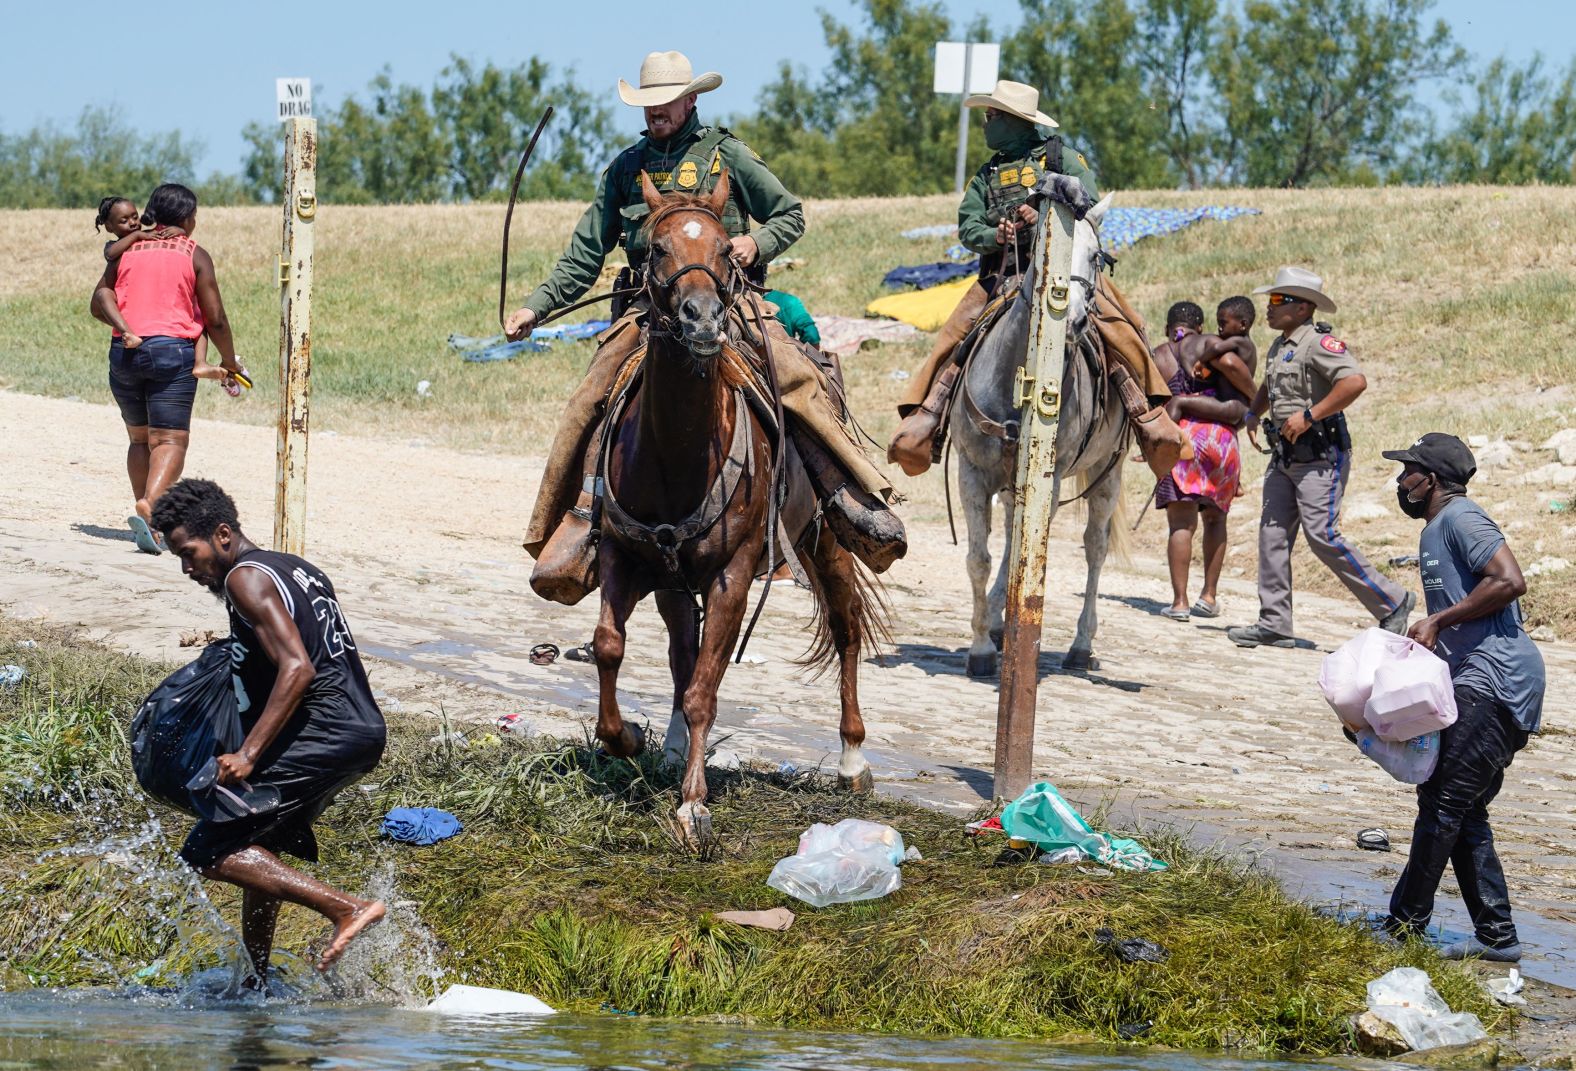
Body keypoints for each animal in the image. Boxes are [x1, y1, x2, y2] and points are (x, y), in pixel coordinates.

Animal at [592, 169, 888, 844]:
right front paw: (626, 739)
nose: (702, 320)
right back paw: (674, 745)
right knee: (682, 650)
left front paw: (693, 805)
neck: (676, 453)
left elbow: (706, 687)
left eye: (728, 250)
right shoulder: (625, 556)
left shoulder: (732, 575)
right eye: (656, 248)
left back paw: (852, 758)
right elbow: (611, 647)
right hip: (673, 581)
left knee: (846, 628)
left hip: (825, 543)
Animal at [945, 191, 1134, 674]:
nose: (1075, 321)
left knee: (1094, 548)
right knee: (1013, 537)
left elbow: (1029, 556)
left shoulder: (1050, 479)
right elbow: (979, 559)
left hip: (1107, 473)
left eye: (1097, 257)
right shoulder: (972, 472)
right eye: (1045, 251)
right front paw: (981, 647)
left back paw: (1080, 646)